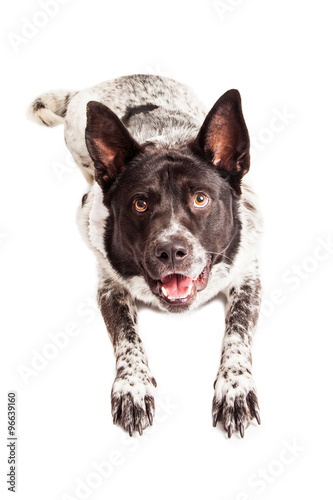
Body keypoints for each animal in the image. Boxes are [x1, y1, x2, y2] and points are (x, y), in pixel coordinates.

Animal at [27, 74, 262, 438]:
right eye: (140, 203)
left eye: (200, 198)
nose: (171, 250)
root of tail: (88, 89)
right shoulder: (110, 287)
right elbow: (127, 336)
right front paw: (132, 387)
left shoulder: (248, 277)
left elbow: (237, 332)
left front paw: (235, 387)